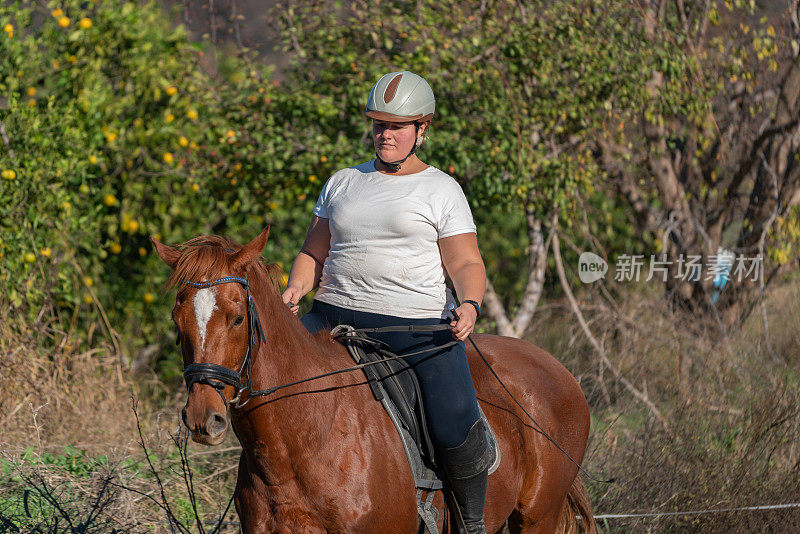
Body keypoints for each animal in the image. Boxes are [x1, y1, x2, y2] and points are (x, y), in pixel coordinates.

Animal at [153, 231, 596, 534]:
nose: (202, 418)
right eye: (177, 321)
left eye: (237, 318)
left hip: (537, 517)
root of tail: (557, 369)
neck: (303, 437)